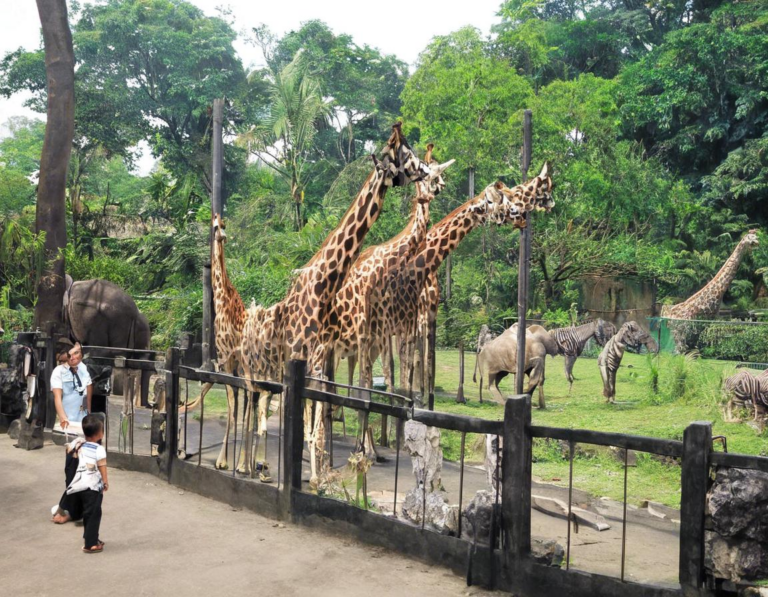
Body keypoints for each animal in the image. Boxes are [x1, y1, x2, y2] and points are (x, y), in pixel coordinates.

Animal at [364, 163, 556, 398]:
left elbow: (424, 366)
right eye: (545, 187)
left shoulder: (427, 318)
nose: (523, 218)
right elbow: (408, 365)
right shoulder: (413, 321)